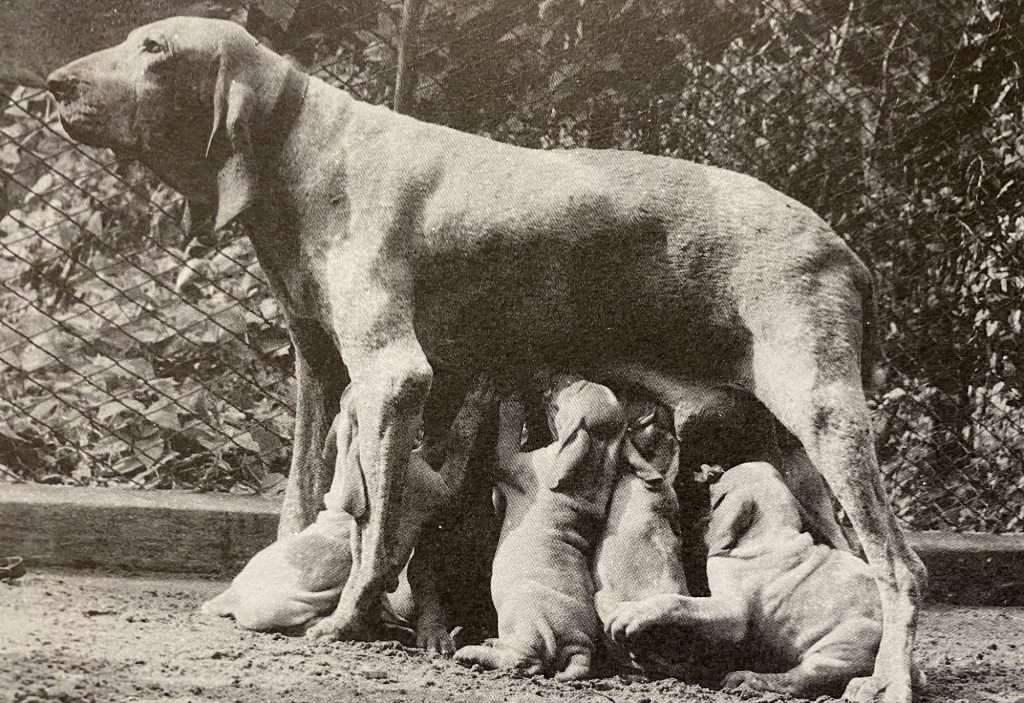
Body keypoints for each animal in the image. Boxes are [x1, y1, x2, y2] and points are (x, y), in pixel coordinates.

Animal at [200, 378, 495, 654]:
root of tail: (227, 597)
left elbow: (438, 443)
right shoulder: (442, 486)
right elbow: (460, 437)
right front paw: (480, 395)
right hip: (286, 609)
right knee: (299, 624)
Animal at [454, 376, 622, 679]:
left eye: (577, 388)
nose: (558, 376)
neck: (598, 456)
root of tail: (577, 646)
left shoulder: (512, 463)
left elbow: (507, 434)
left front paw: (512, 395)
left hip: (522, 621)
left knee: (523, 662)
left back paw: (473, 653)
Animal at [602, 390, 884, 699]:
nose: (708, 469)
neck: (771, 533)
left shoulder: (732, 613)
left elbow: (678, 602)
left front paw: (631, 614)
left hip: (841, 646)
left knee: (800, 680)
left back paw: (749, 679)